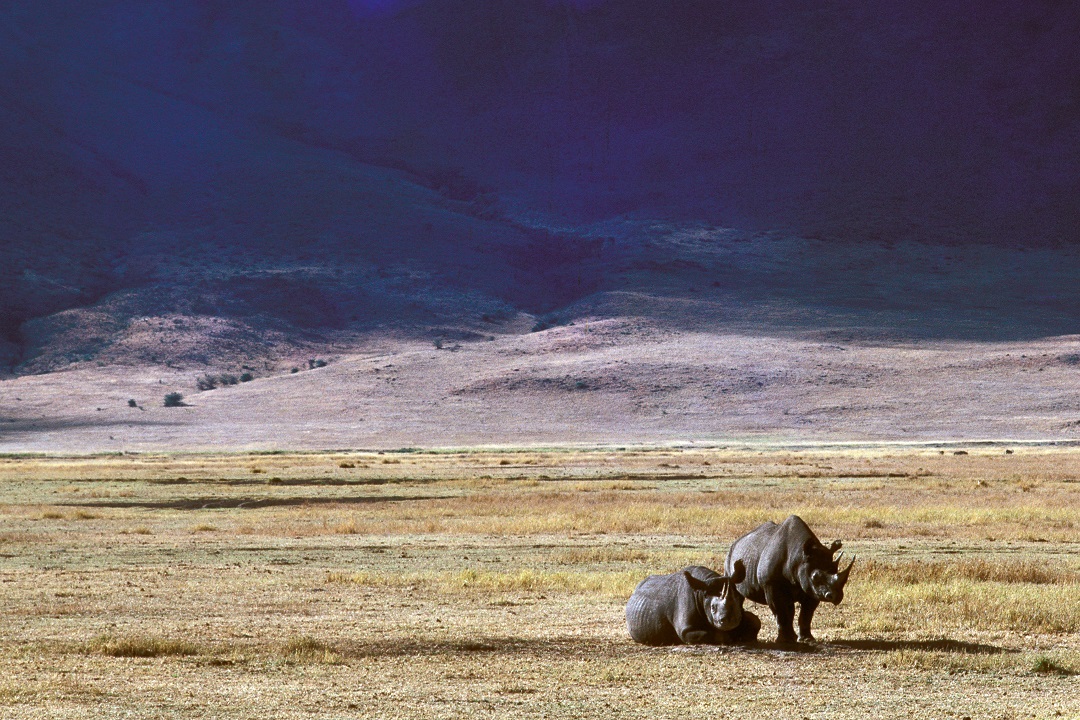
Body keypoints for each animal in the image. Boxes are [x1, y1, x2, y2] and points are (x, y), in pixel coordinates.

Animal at [625, 562, 761, 646]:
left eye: (741, 601)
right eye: (713, 607)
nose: (730, 622)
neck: (702, 593)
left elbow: (756, 621)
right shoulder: (686, 629)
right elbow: (712, 634)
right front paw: (730, 637)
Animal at [725, 515, 854, 644]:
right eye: (815, 577)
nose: (837, 597)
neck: (798, 557)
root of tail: (736, 542)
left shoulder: (812, 589)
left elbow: (807, 614)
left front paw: (807, 639)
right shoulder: (771, 585)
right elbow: (780, 612)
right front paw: (784, 641)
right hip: (729, 558)